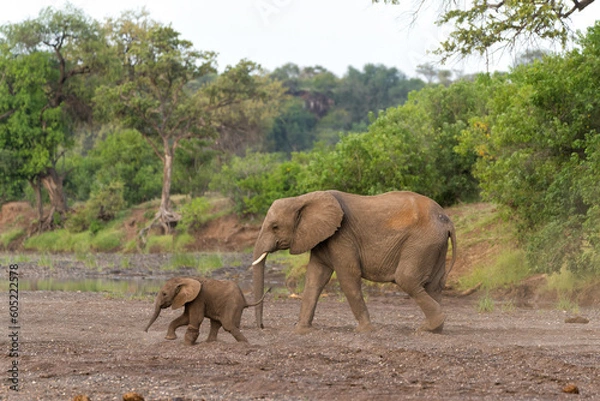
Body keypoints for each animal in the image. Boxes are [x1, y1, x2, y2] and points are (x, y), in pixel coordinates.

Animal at [252, 189, 454, 332]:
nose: (262, 327)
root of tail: (446, 220)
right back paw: (433, 329)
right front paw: (301, 330)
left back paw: (428, 327)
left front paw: (365, 331)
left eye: (275, 227)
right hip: (435, 244)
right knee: (434, 285)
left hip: (422, 242)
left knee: (407, 279)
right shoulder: (323, 238)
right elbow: (315, 279)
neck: (302, 199)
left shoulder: (342, 236)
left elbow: (348, 277)